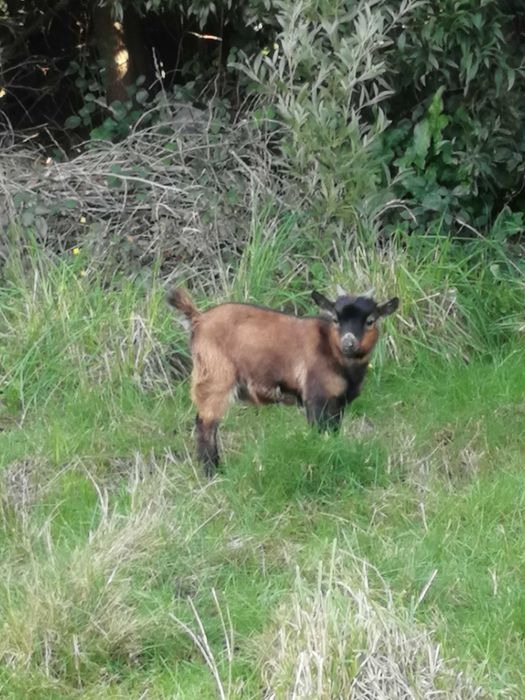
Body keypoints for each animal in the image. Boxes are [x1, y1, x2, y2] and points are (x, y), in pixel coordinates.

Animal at [168, 285, 399, 476]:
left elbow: (333, 432)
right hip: (215, 377)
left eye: (370, 320)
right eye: (335, 319)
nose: (348, 343)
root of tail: (198, 319)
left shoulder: (338, 403)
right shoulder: (315, 398)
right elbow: (319, 432)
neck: (332, 350)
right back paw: (213, 472)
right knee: (205, 424)